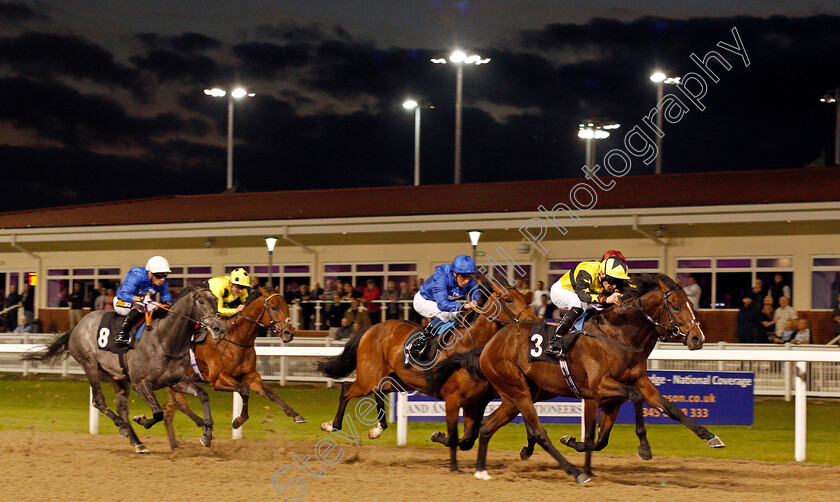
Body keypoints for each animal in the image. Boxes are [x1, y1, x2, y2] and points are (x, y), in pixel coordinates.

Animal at [23, 284, 226, 452]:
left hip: (118, 377)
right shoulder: (140, 383)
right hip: (90, 365)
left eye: (217, 300)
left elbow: (203, 395)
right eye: (201, 301)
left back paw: (137, 441)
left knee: (121, 408)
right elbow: (158, 413)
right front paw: (142, 420)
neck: (164, 339)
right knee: (99, 401)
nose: (219, 328)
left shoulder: (177, 381)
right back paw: (123, 426)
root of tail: (77, 326)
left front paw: (207, 434)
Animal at [162, 288, 306, 450]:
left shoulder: (250, 376)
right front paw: (238, 421)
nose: (289, 333)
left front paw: (295, 414)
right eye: (274, 307)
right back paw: (202, 429)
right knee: (179, 403)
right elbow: (244, 391)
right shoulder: (217, 379)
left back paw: (174, 445)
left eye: (286, 306)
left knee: (169, 411)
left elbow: (270, 393)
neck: (235, 339)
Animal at [316, 278, 532, 470]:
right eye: (509, 300)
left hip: (398, 380)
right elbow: (457, 437)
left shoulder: (476, 400)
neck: (469, 344)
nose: (532, 320)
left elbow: (468, 439)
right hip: (367, 379)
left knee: (379, 390)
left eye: (524, 297)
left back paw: (377, 429)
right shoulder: (453, 397)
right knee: (347, 389)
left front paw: (440, 437)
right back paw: (331, 425)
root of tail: (371, 328)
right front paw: (440, 437)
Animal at [430, 274, 724, 482]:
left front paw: (710, 436)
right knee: (537, 431)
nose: (697, 338)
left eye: (691, 304)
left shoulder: (635, 383)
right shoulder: (600, 388)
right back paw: (575, 473)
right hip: (518, 391)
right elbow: (631, 402)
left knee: (486, 427)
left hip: (516, 395)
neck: (619, 335)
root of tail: (489, 344)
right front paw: (644, 447)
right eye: (675, 306)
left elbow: (670, 408)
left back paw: (481, 469)